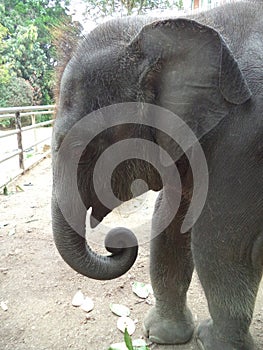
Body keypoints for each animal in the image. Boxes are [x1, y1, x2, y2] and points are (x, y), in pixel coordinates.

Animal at [52, 1, 263, 348]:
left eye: (86, 144)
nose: (115, 243)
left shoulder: (242, 141)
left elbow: (220, 244)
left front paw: (210, 340)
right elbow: (169, 223)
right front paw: (162, 335)